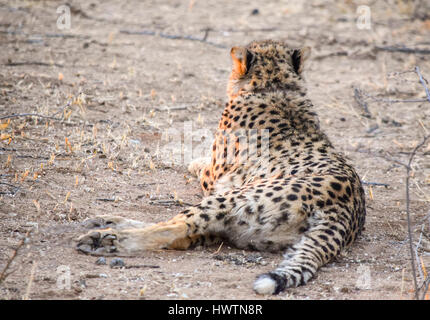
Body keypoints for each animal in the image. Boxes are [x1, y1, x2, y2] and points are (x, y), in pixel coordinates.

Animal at [75, 40, 364, 296]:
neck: (276, 87)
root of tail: (346, 210)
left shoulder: (217, 178)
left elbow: (200, 166)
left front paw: (192, 162)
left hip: (232, 199)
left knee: (179, 227)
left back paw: (105, 239)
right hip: (243, 227)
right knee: (187, 232)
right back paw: (108, 222)